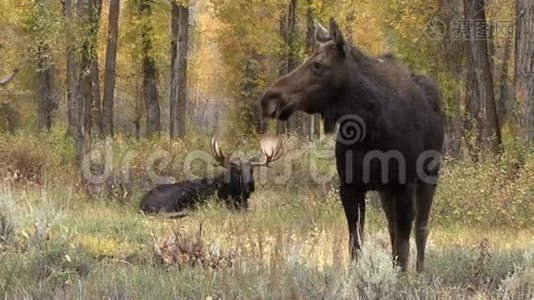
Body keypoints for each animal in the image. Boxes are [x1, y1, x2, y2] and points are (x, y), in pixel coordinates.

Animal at [262, 18, 446, 272]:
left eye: (318, 64)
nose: (269, 98)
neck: (367, 126)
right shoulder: (350, 186)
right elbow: (356, 245)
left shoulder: (404, 185)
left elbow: (403, 247)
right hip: (385, 190)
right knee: (392, 227)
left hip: (428, 177)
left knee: (421, 228)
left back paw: (420, 271)